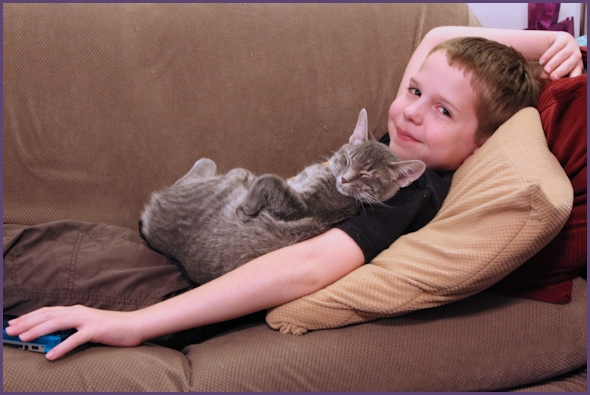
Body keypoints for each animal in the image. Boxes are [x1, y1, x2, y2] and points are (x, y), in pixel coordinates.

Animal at [139, 109, 426, 284]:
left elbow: (270, 179)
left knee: (212, 167)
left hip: (215, 185)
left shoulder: (303, 207)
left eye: (367, 175)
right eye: (347, 159)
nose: (344, 179)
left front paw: (247, 207)